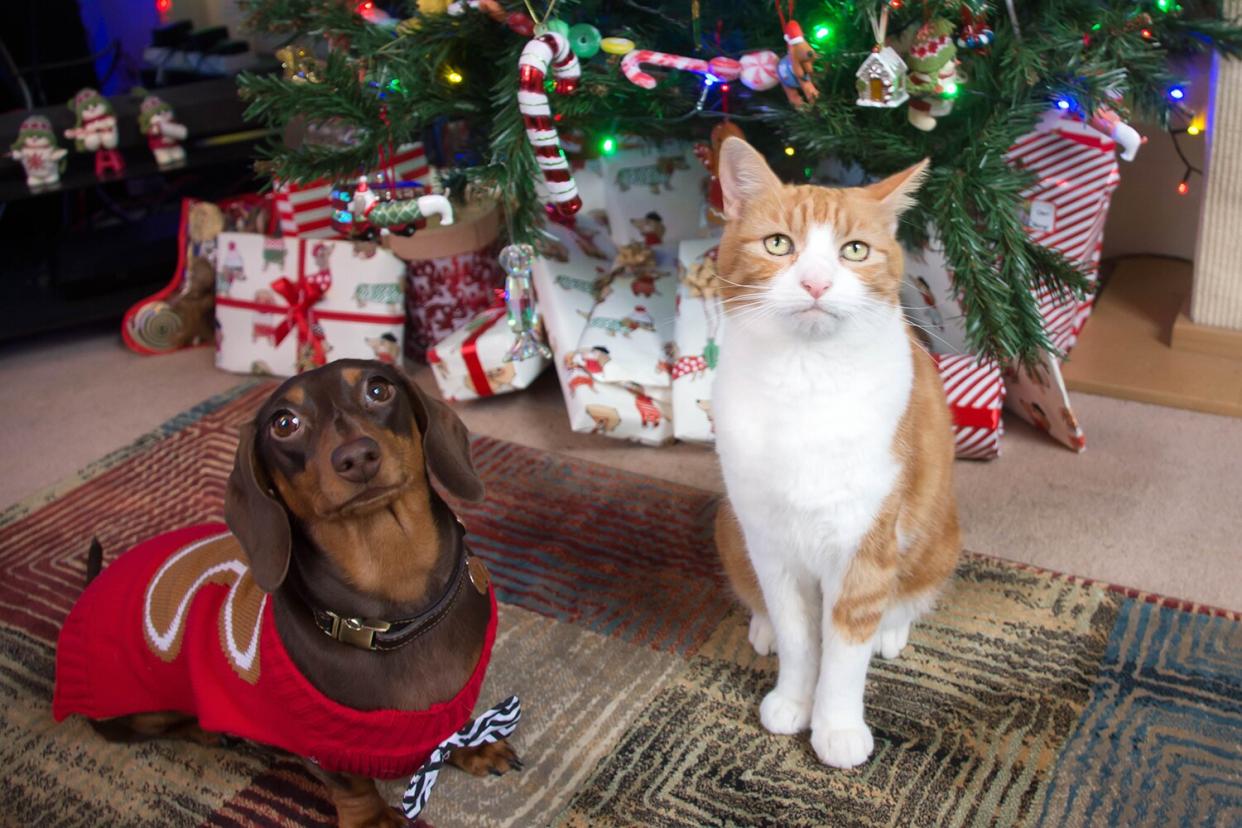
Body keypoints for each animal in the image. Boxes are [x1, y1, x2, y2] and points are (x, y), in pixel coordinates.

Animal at [52, 360, 519, 828]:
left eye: (379, 389)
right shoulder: (319, 744)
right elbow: (352, 786)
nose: (356, 457)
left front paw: (475, 745)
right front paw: (373, 820)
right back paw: (208, 730)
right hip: (135, 707)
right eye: (284, 423)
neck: (396, 597)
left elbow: (452, 726)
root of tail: (90, 588)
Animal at [710, 137, 958, 769]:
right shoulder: (770, 541)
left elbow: (846, 651)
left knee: (906, 600)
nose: (817, 283)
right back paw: (762, 629)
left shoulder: (863, 546)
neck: (807, 378)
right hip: (727, 522)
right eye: (779, 244)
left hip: (939, 535)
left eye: (855, 251)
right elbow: (801, 637)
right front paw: (793, 701)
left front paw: (837, 727)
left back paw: (892, 630)